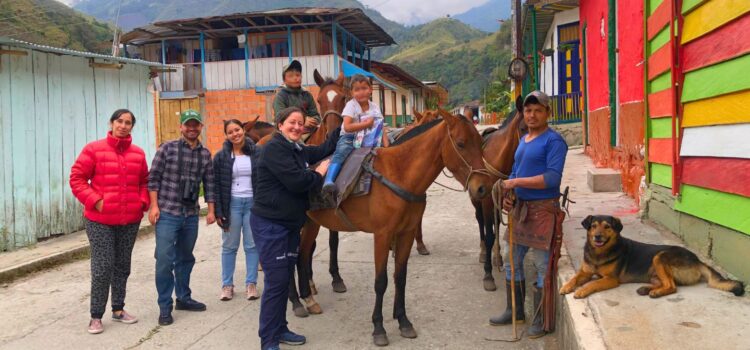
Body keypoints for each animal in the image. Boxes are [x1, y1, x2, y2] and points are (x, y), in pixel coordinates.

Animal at [302, 110, 496, 346]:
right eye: (460, 143)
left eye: (480, 142)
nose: (483, 187)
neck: (399, 174)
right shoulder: (383, 235)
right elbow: (381, 281)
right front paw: (378, 328)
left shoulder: (406, 233)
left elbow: (400, 277)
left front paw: (403, 321)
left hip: (312, 224)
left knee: (301, 255)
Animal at [560, 215, 744, 300]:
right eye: (593, 226)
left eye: (607, 227)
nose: (597, 237)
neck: (599, 252)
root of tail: (698, 260)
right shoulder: (585, 272)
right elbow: (575, 278)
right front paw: (566, 286)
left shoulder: (610, 279)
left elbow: (593, 283)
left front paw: (582, 290)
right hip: (655, 272)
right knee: (667, 283)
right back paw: (647, 289)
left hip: (659, 257)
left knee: (672, 286)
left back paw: (655, 292)